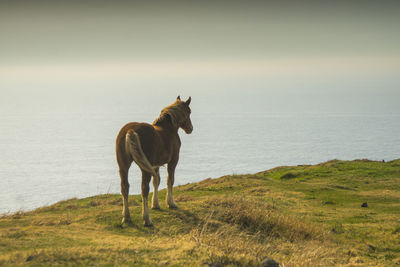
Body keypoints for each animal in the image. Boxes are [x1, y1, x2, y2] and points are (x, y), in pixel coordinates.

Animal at [115, 96, 193, 226]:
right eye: (189, 112)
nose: (190, 129)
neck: (168, 129)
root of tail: (130, 130)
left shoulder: (155, 165)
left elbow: (156, 181)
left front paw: (155, 204)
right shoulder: (173, 161)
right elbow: (170, 180)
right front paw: (171, 203)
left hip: (123, 166)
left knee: (125, 187)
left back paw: (126, 217)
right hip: (144, 168)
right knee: (144, 189)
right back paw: (147, 219)